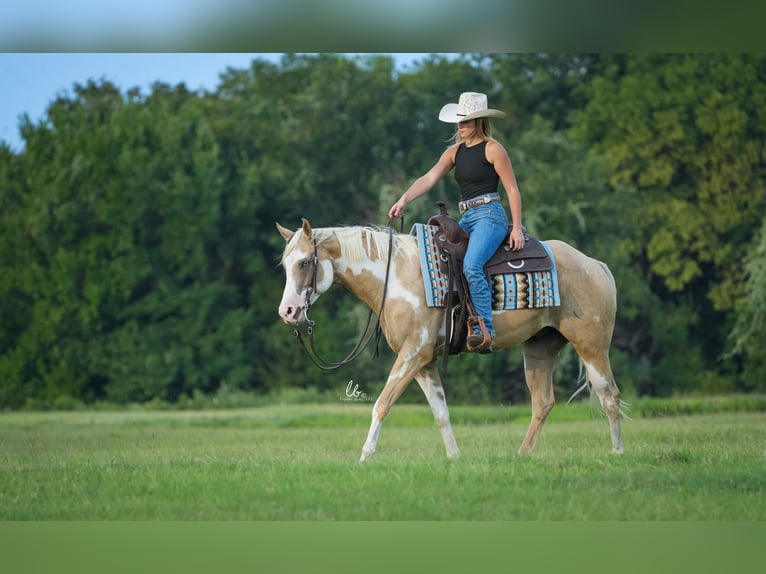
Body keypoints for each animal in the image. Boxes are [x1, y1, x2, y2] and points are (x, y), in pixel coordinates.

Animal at [276, 217, 624, 464]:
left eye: (305, 262)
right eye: (285, 264)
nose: (288, 311)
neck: (397, 278)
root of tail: (595, 265)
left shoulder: (412, 354)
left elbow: (382, 403)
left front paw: (365, 456)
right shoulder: (424, 362)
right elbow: (440, 412)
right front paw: (455, 457)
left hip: (591, 346)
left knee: (609, 395)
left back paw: (618, 453)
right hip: (540, 348)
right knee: (543, 402)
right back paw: (523, 455)